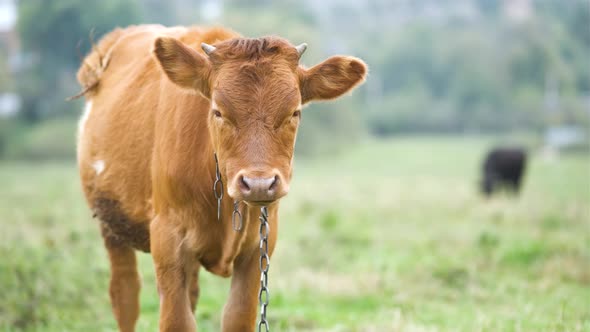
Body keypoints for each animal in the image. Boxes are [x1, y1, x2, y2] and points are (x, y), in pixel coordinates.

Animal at [76, 24, 368, 330]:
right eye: (217, 111)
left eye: (295, 112)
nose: (259, 184)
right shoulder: (167, 237)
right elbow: (176, 320)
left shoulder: (259, 246)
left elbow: (237, 316)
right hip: (112, 225)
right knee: (125, 295)